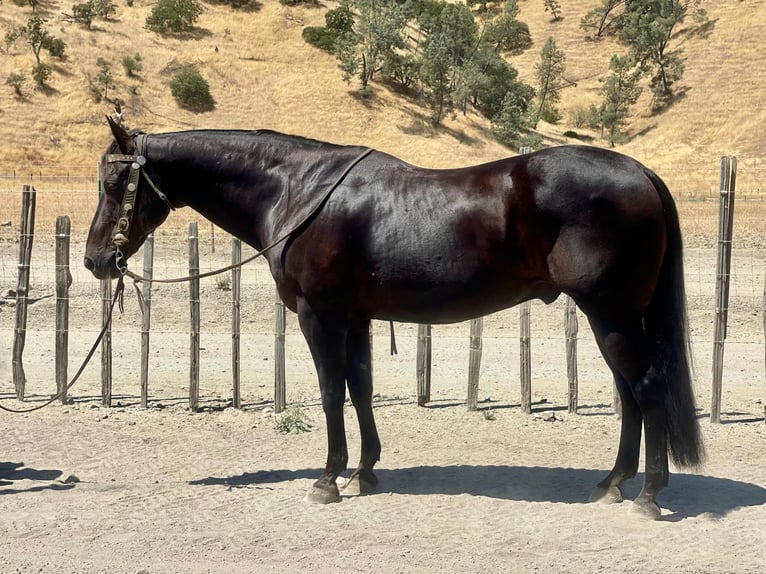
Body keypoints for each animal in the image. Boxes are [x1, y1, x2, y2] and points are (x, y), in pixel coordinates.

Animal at [87, 119, 704, 520]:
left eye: (115, 184)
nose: (95, 260)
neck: (295, 189)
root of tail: (640, 172)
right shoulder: (356, 318)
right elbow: (360, 388)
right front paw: (365, 471)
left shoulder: (320, 316)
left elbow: (331, 392)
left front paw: (328, 479)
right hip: (612, 318)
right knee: (630, 394)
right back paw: (612, 483)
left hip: (611, 314)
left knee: (646, 389)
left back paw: (648, 496)